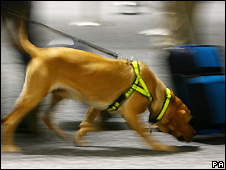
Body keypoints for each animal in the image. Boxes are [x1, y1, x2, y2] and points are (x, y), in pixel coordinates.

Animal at [0, 21, 196, 153]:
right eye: (188, 121)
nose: (195, 134)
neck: (152, 89)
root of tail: (40, 51)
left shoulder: (95, 106)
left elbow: (88, 124)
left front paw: (80, 136)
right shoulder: (130, 114)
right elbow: (143, 135)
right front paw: (161, 147)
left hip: (56, 94)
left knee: (41, 116)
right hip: (34, 95)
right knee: (11, 120)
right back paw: (9, 147)